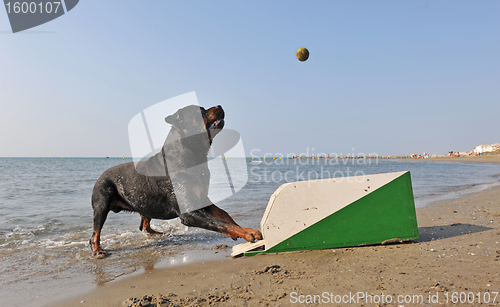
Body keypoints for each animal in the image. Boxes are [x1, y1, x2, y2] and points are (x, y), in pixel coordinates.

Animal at [90, 104, 262, 256]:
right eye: (200, 110)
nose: (219, 105)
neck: (191, 155)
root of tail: (101, 175)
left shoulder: (201, 199)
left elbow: (224, 215)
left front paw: (246, 230)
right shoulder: (189, 212)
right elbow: (217, 222)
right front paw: (245, 233)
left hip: (145, 202)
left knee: (145, 224)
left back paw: (158, 233)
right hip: (102, 202)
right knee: (95, 232)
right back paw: (97, 250)